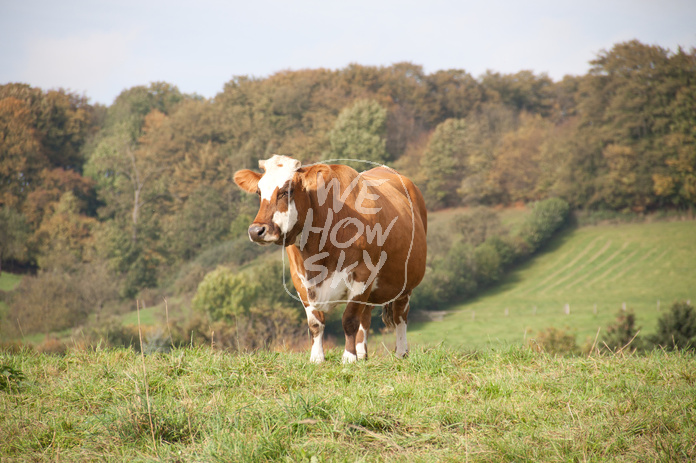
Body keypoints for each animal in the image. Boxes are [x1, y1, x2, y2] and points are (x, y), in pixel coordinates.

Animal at [235, 155, 430, 362]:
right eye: (259, 192)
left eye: (286, 191)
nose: (256, 231)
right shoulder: (300, 280)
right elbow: (315, 323)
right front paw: (317, 358)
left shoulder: (362, 274)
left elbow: (349, 320)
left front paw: (349, 357)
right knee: (366, 316)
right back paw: (362, 353)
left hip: (406, 282)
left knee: (400, 315)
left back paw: (401, 352)